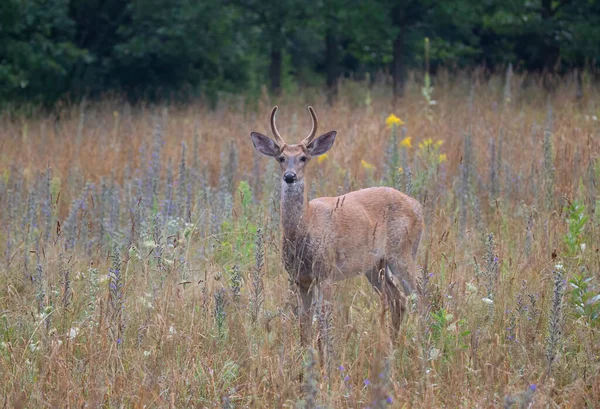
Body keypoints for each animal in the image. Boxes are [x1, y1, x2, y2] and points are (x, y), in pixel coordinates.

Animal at [251, 107, 424, 352]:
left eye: (304, 157)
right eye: (281, 158)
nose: (290, 176)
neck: (306, 227)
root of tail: (417, 206)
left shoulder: (325, 271)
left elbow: (324, 320)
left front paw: (325, 355)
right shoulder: (299, 277)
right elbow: (304, 321)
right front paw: (306, 353)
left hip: (403, 251)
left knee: (422, 294)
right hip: (375, 265)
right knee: (398, 300)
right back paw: (394, 345)